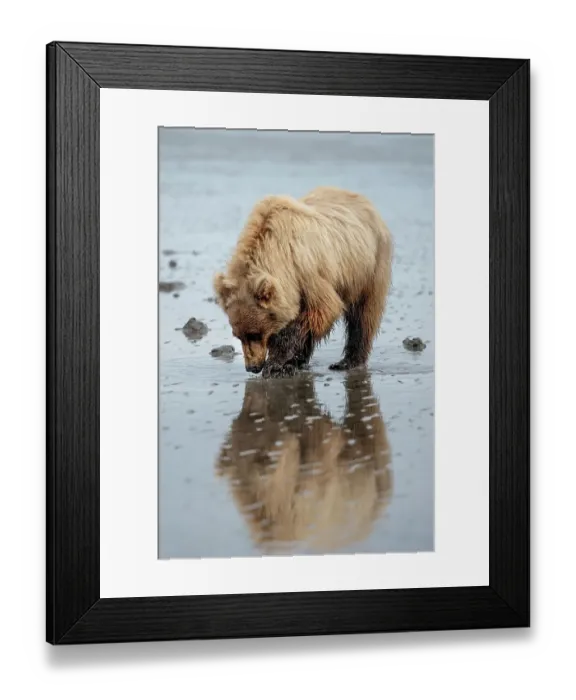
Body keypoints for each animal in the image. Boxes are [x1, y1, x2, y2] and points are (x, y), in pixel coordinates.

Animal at [213, 186, 393, 378]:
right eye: (238, 335)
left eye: (255, 333)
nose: (252, 367)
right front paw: (288, 362)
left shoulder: (306, 271)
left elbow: (322, 310)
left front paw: (276, 364)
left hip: (369, 265)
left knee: (364, 315)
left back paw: (347, 362)